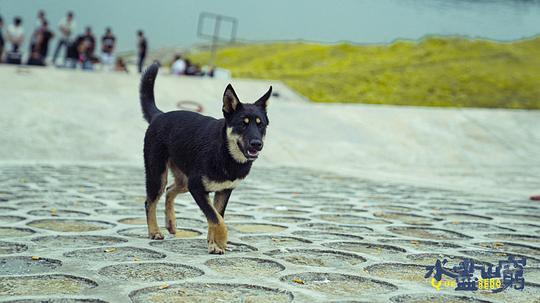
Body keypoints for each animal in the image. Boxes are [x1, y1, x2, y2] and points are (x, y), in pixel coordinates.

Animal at [139, 62, 272, 254]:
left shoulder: (224, 191)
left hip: (183, 181)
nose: (257, 144)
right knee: (150, 202)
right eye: (242, 124)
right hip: (158, 176)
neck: (225, 152)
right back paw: (154, 231)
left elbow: (216, 216)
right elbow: (217, 219)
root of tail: (159, 115)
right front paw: (221, 241)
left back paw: (171, 223)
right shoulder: (197, 188)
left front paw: (213, 243)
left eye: (261, 125)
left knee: (170, 190)